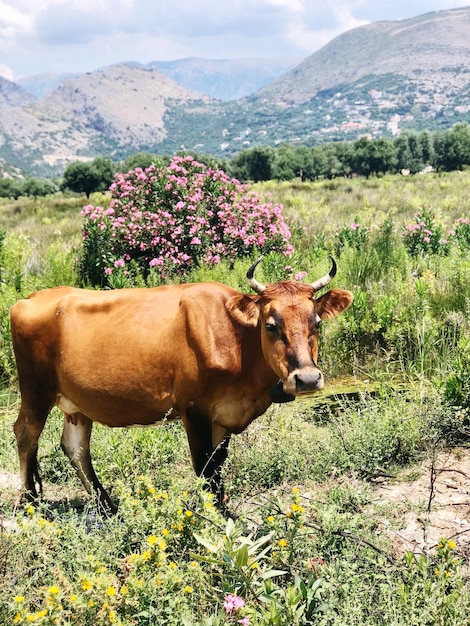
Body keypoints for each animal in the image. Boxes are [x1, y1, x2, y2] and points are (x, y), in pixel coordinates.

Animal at [10, 256, 352, 510]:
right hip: (35, 390)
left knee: (76, 448)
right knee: (26, 433)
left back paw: (107, 506)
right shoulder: (193, 411)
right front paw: (214, 517)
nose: (307, 378)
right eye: (270, 325)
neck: (235, 338)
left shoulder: (223, 415)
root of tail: (29, 299)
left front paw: (224, 510)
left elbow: (218, 467)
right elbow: (204, 469)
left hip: (76, 404)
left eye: (316, 322)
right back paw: (29, 501)